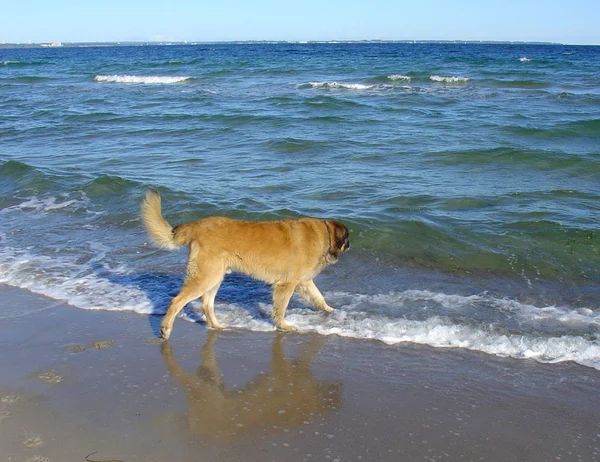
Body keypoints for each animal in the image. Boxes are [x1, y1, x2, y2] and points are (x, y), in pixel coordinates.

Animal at [140, 189, 350, 340]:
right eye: (347, 238)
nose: (350, 245)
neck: (324, 234)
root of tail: (196, 225)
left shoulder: (303, 282)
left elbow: (318, 297)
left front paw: (331, 311)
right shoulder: (286, 285)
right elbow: (281, 308)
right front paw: (283, 325)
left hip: (214, 277)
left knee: (206, 305)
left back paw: (217, 325)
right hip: (205, 277)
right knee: (176, 301)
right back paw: (166, 329)